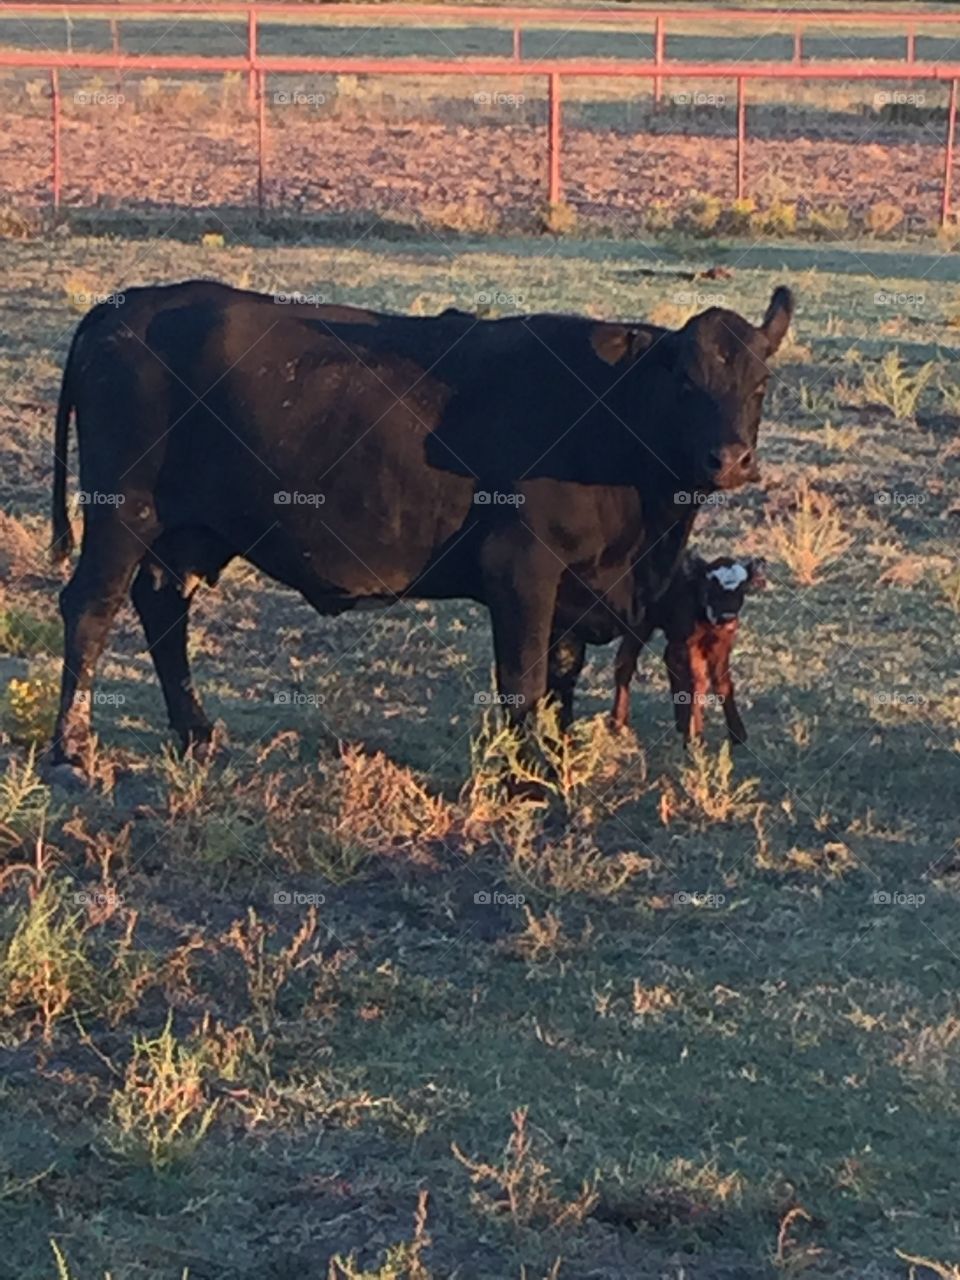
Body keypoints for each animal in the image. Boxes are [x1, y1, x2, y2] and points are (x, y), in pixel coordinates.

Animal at [611, 554, 766, 743]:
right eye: (710, 586)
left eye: (742, 588)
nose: (728, 617)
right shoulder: (687, 643)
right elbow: (696, 682)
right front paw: (694, 735)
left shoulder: (721, 643)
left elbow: (721, 682)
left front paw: (738, 734)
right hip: (641, 624)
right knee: (625, 663)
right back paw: (617, 723)